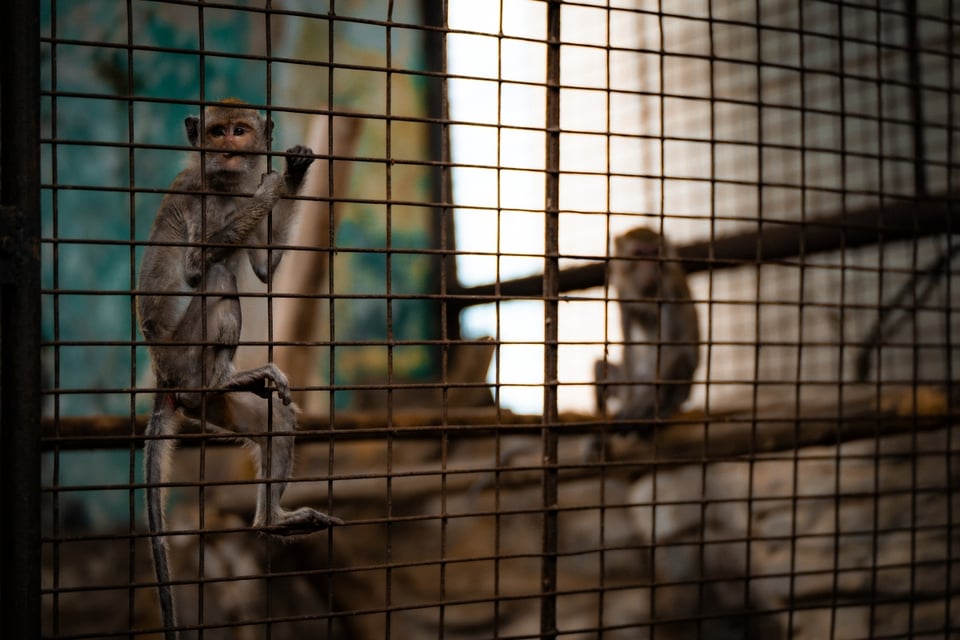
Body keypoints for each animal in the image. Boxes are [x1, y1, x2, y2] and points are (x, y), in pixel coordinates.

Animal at [137, 100, 341, 639]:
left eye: (239, 131)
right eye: (217, 132)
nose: (228, 148)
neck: (227, 189)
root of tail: (166, 381)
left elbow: (266, 270)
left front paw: (294, 174)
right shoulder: (199, 198)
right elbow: (195, 265)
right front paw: (272, 186)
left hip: (206, 405)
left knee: (275, 419)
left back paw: (271, 521)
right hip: (183, 356)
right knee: (216, 276)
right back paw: (225, 375)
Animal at [594, 227, 700, 427]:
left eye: (654, 253)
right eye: (639, 254)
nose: (649, 269)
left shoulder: (669, 292)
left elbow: (669, 348)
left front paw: (637, 408)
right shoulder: (622, 294)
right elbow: (628, 344)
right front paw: (629, 403)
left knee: (681, 359)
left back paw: (667, 407)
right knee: (599, 365)